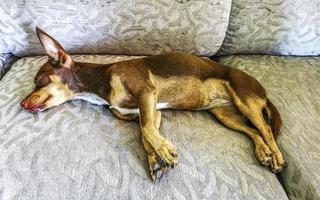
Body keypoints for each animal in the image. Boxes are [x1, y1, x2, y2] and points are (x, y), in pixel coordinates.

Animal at [20, 27, 284, 182]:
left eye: (39, 81)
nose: (22, 103)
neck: (101, 82)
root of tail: (261, 89)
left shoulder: (147, 94)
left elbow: (147, 130)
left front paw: (165, 152)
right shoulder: (150, 111)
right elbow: (146, 134)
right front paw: (156, 160)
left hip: (245, 99)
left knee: (266, 129)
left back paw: (277, 156)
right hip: (225, 115)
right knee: (253, 131)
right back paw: (264, 152)